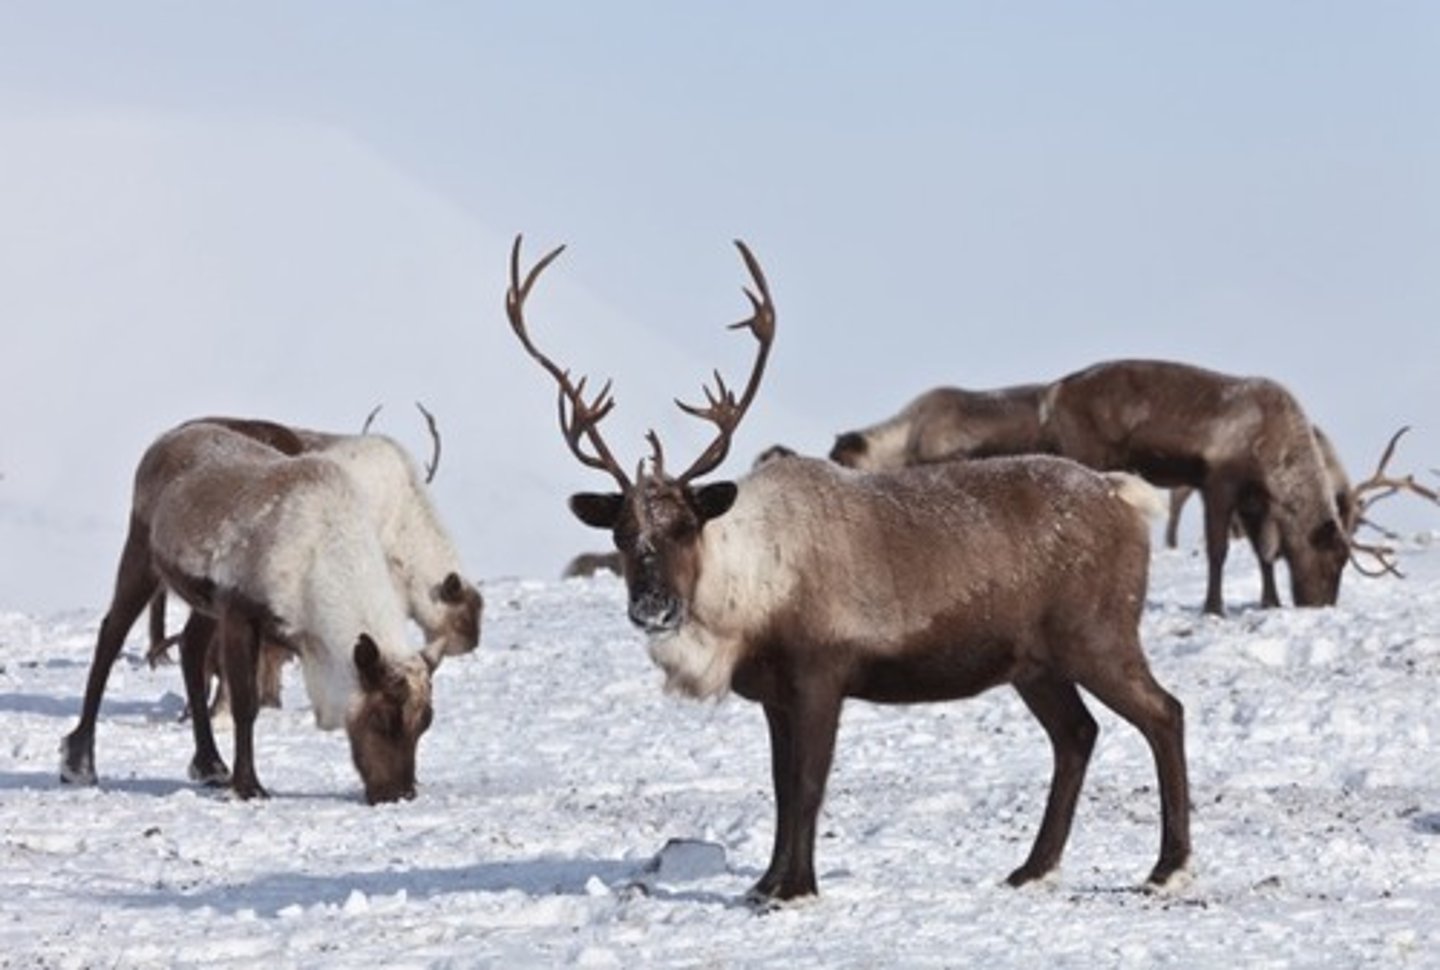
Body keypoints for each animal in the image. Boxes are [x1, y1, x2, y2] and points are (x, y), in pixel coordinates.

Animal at [60, 420, 471, 804]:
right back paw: (79, 762)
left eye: (425, 722)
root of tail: (165, 440)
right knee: (110, 635)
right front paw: (249, 786)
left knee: (190, 648)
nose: (400, 793)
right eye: (382, 716)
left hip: (204, 603)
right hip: (142, 552)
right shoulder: (240, 612)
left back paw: (209, 764)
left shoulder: (239, 613)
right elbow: (246, 705)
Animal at [506, 236, 1191, 903]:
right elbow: (780, 786)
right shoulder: (773, 692)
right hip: (1034, 663)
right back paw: (1032, 868)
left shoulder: (820, 673)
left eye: (684, 526)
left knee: (1164, 712)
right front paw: (764, 884)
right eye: (622, 534)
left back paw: (1168, 867)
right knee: (1076, 734)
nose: (652, 606)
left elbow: (808, 783)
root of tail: (1123, 493)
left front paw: (797, 888)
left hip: (1097, 634)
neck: (745, 604)